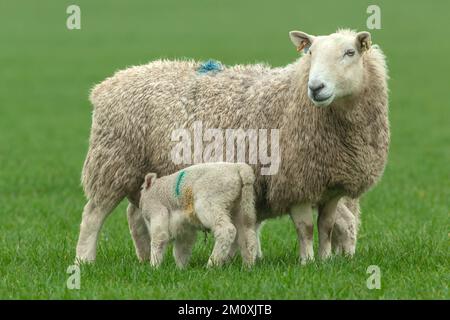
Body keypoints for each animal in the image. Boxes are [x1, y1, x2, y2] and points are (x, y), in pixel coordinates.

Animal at [75, 29, 388, 264]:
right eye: (309, 53)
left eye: (350, 53)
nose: (316, 87)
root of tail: (109, 83)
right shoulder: (295, 183)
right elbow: (307, 228)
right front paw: (307, 262)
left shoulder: (330, 186)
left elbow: (326, 226)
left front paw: (325, 261)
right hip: (113, 162)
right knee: (93, 215)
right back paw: (85, 261)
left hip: (143, 174)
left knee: (136, 216)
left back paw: (143, 257)